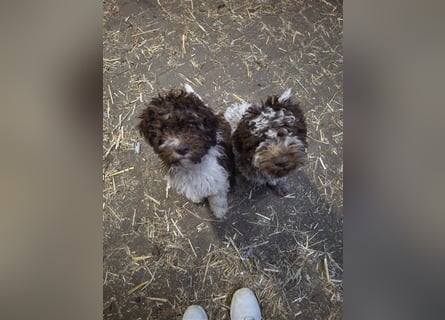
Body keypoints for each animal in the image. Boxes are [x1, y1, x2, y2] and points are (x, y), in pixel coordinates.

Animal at [137, 84, 234, 219]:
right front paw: (196, 197)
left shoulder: (218, 173)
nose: (181, 149)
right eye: (165, 128)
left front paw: (219, 211)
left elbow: (217, 196)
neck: (191, 165)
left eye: (192, 125)